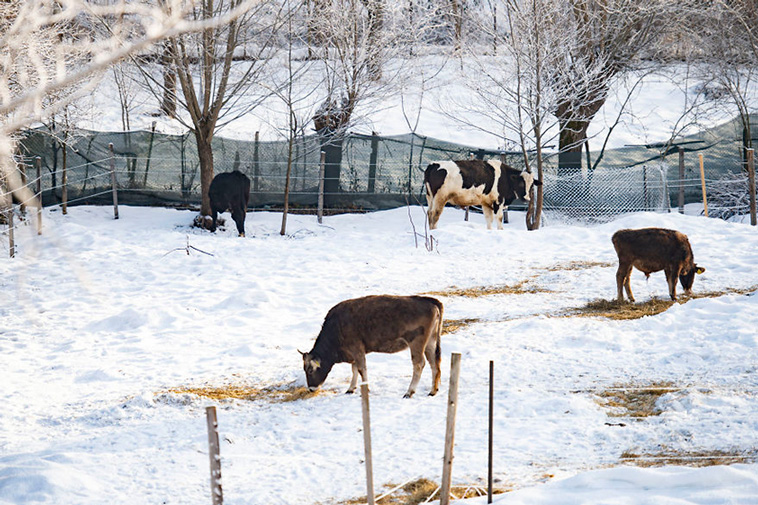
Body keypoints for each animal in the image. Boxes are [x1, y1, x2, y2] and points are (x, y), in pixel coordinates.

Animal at [300, 295, 444, 398]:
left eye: (310, 370)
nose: (311, 389)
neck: (336, 327)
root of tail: (429, 301)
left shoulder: (357, 349)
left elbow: (361, 369)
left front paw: (365, 389)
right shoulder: (355, 353)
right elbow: (354, 369)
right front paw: (351, 388)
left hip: (416, 344)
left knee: (419, 364)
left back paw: (409, 392)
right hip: (430, 343)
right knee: (434, 363)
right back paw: (433, 391)